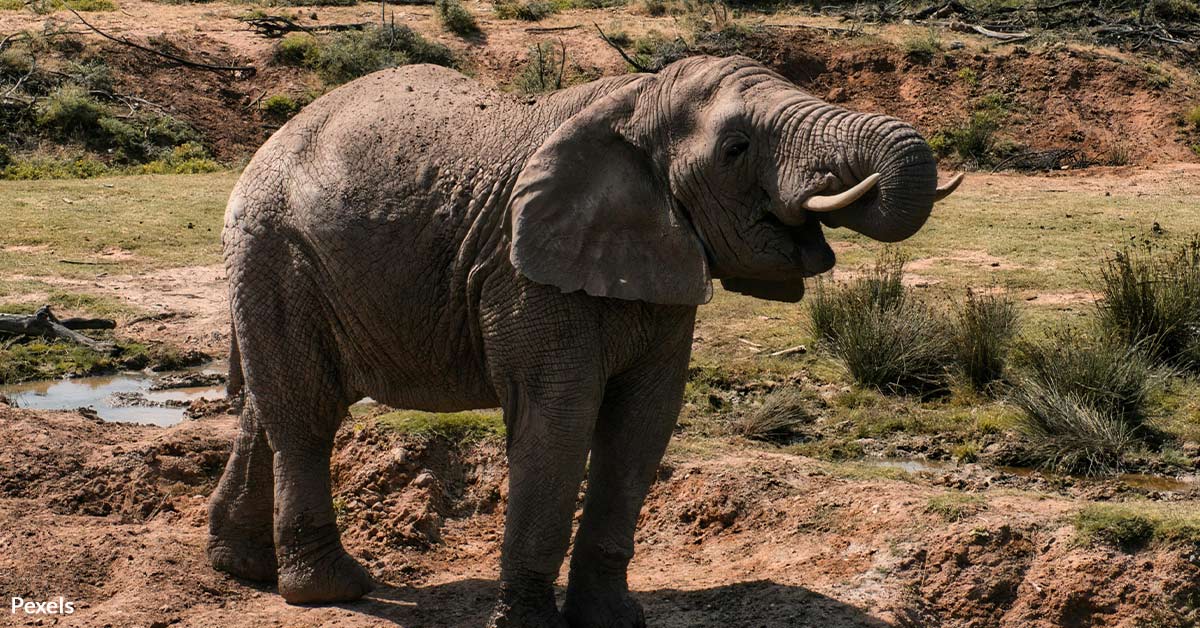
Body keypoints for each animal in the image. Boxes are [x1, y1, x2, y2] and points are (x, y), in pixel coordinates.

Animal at [206, 55, 961, 627]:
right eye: (736, 149)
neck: (636, 102)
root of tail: (269, 143)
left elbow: (643, 425)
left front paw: (614, 621)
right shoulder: (522, 270)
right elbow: (560, 420)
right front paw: (528, 624)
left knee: (269, 412)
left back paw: (243, 568)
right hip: (277, 251)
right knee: (307, 416)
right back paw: (334, 590)